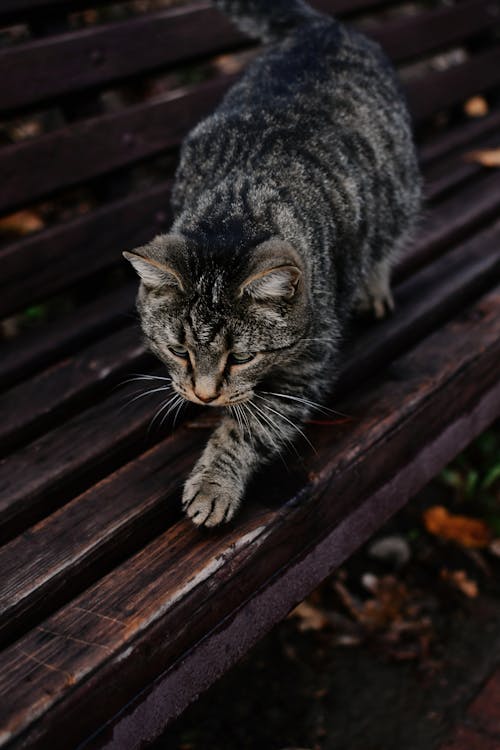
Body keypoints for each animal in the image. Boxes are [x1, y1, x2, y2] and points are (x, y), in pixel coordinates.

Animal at [123, 0, 420, 528]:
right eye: (178, 351)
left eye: (242, 358)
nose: (204, 395)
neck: (235, 208)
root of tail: (323, 26)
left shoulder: (305, 368)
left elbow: (248, 429)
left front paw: (214, 483)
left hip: (398, 191)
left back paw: (374, 285)